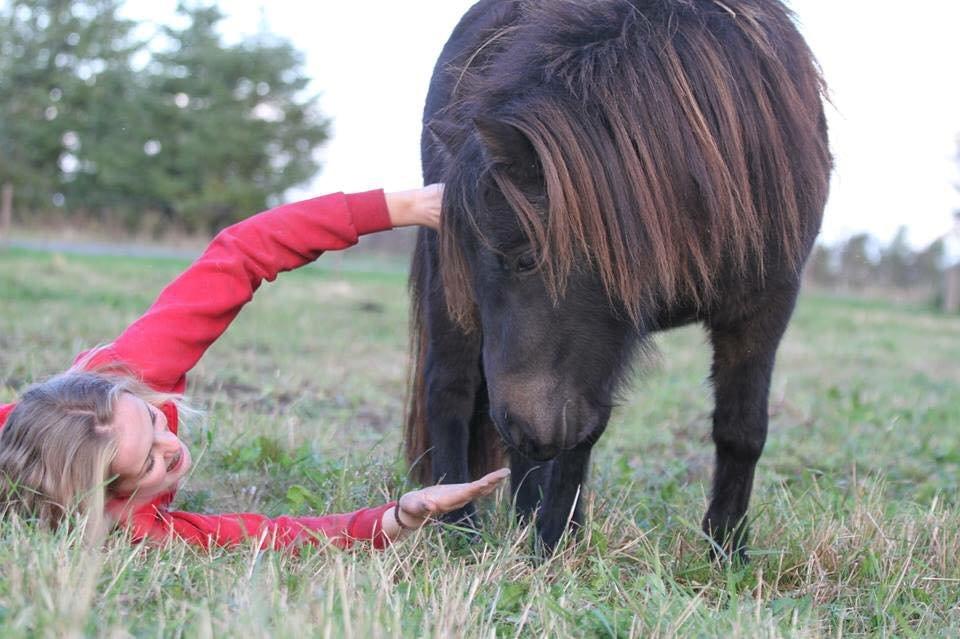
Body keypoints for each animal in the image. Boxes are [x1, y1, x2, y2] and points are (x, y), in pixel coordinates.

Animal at [402, 0, 828, 556]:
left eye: (526, 259)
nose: (517, 424)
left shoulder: (763, 307)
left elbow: (741, 428)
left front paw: (727, 550)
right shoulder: (594, 341)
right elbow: (579, 435)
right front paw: (554, 544)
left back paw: (522, 514)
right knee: (451, 388)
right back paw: (460, 527)